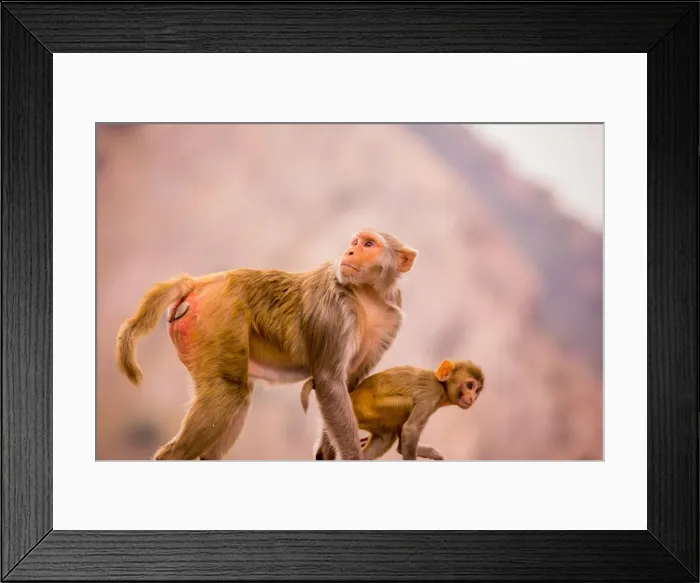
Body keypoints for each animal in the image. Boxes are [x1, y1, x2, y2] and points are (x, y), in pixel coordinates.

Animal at [115, 230, 417, 461]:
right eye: (356, 242)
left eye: (369, 244)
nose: (350, 252)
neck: (366, 296)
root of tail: (202, 281)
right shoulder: (335, 313)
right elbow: (330, 382)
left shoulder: (391, 320)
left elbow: (349, 384)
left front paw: (326, 452)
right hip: (217, 319)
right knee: (229, 391)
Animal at [300, 359, 485, 461]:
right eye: (469, 385)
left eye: (477, 390)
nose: (472, 398)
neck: (442, 387)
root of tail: (351, 395)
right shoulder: (431, 395)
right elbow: (410, 430)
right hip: (366, 408)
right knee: (405, 404)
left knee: (386, 437)